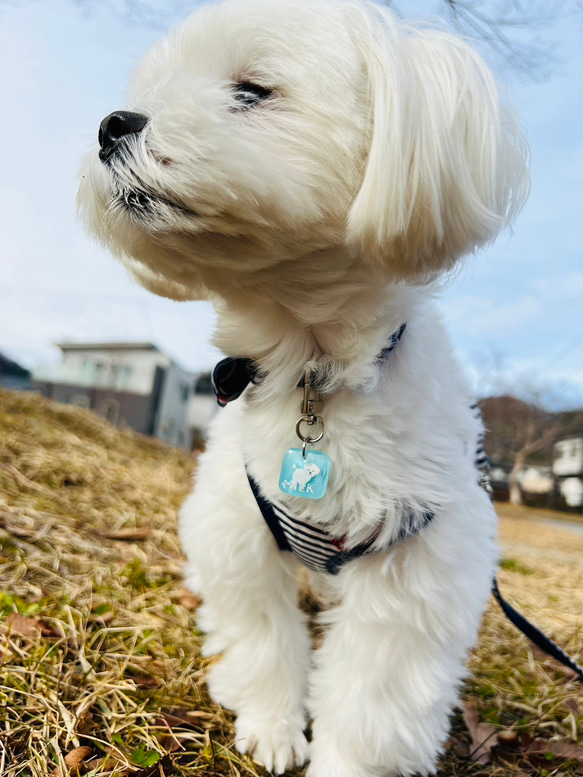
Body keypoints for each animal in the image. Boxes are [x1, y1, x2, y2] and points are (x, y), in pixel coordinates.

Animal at [80, 3, 532, 772]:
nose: (113, 123)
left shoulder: (414, 565)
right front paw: (272, 724)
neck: (311, 371)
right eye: (153, 89)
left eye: (252, 91)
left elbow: (374, 702)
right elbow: (262, 633)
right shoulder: (236, 529)